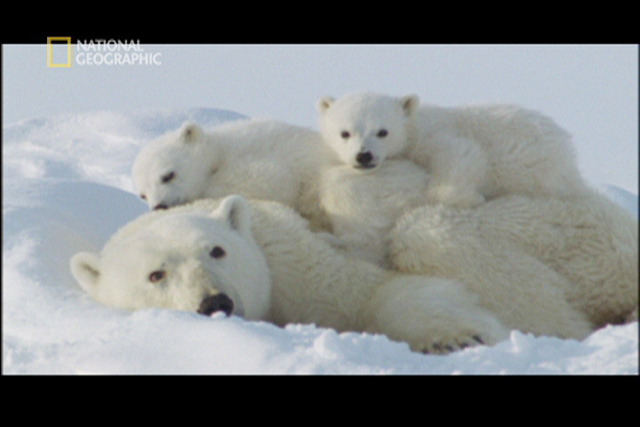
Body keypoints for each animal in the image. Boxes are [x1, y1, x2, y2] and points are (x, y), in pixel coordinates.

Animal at [69, 196, 592, 354]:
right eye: (155, 275)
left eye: (216, 249)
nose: (216, 303)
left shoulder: (294, 260)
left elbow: (373, 291)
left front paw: (457, 335)